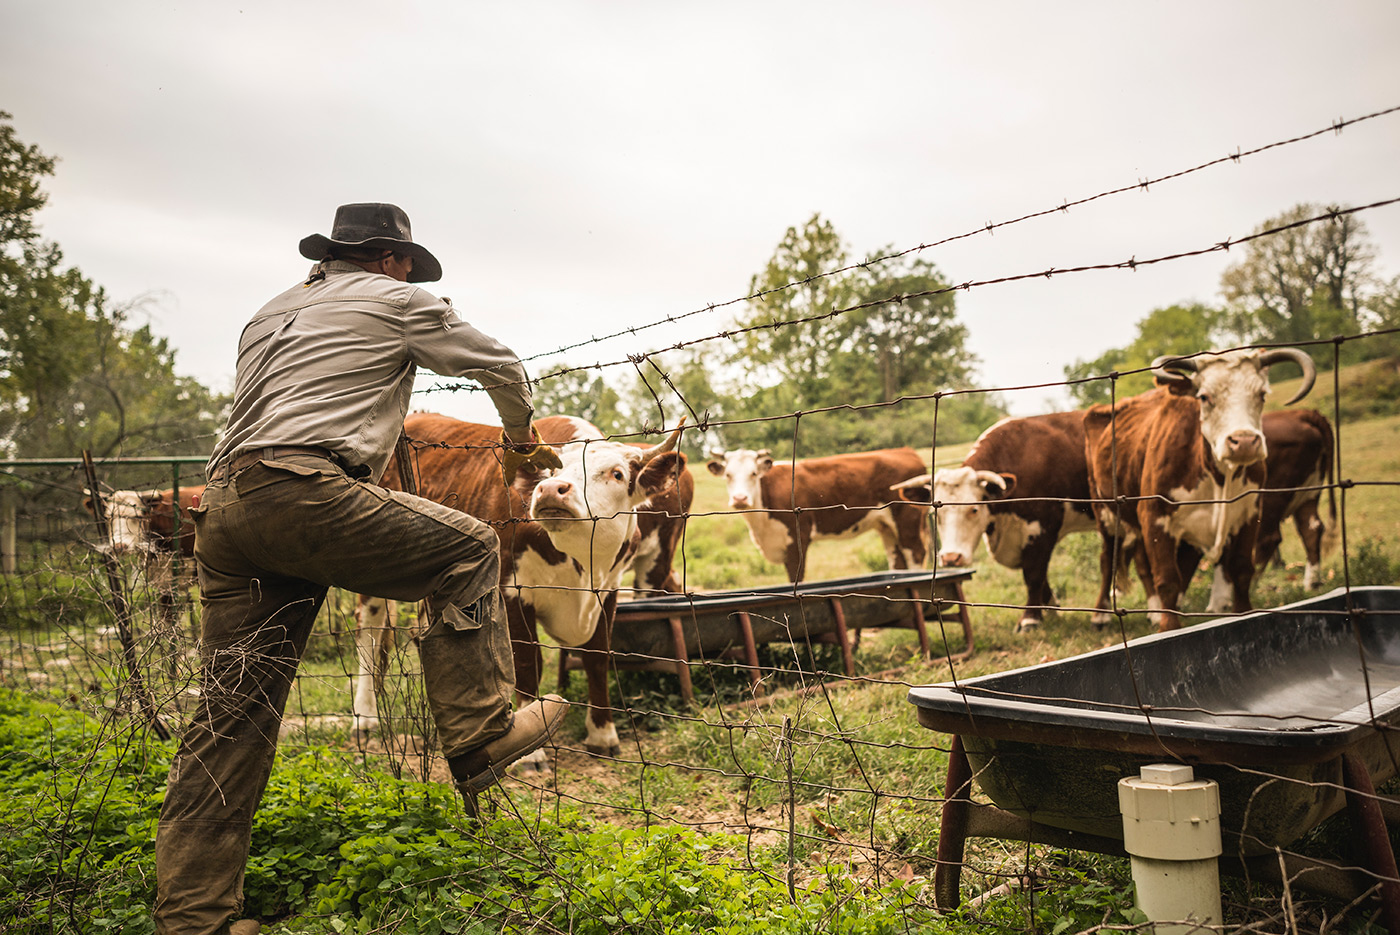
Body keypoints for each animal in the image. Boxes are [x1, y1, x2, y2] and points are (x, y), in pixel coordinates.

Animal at [700, 447, 929, 585]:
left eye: (753, 474)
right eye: (728, 475)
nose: (739, 498)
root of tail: (905, 451)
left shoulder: (797, 538)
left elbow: (796, 578)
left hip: (907, 520)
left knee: (915, 554)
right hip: (886, 527)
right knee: (898, 561)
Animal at [890, 411, 1097, 632]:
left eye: (974, 509)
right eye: (936, 513)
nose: (951, 558)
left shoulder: (1041, 529)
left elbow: (1034, 574)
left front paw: (1030, 618)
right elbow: (1040, 576)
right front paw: (1050, 609)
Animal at [1080, 347, 1310, 632]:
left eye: (1262, 394)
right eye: (1204, 396)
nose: (1244, 441)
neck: (1218, 476)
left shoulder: (1249, 515)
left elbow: (1241, 569)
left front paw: (1241, 612)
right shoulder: (1154, 517)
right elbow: (1167, 579)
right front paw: (1168, 626)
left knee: (1148, 563)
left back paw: (1156, 610)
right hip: (1107, 513)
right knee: (1108, 560)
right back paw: (1102, 615)